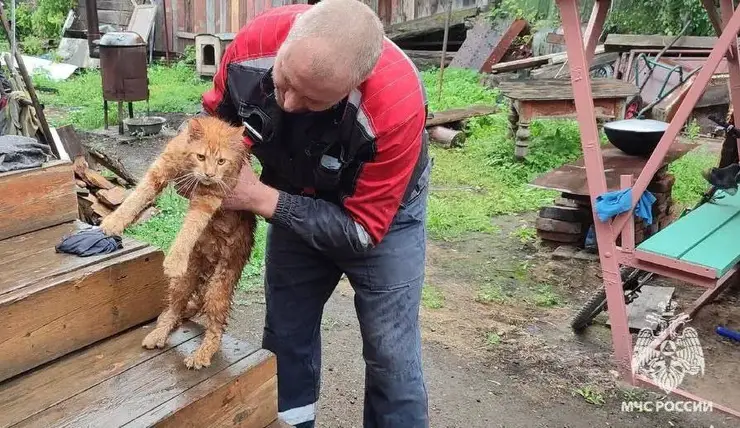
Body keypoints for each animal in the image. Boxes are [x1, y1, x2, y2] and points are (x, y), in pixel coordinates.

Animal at [99, 115, 258, 370]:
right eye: (201, 156)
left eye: (221, 161)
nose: (210, 174)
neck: (189, 166)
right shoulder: (161, 169)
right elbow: (136, 196)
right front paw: (113, 222)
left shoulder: (210, 195)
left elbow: (190, 227)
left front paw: (174, 259)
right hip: (185, 280)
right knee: (174, 309)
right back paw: (158, 333)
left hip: (219, 286)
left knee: (216, 327)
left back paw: (201, 354)